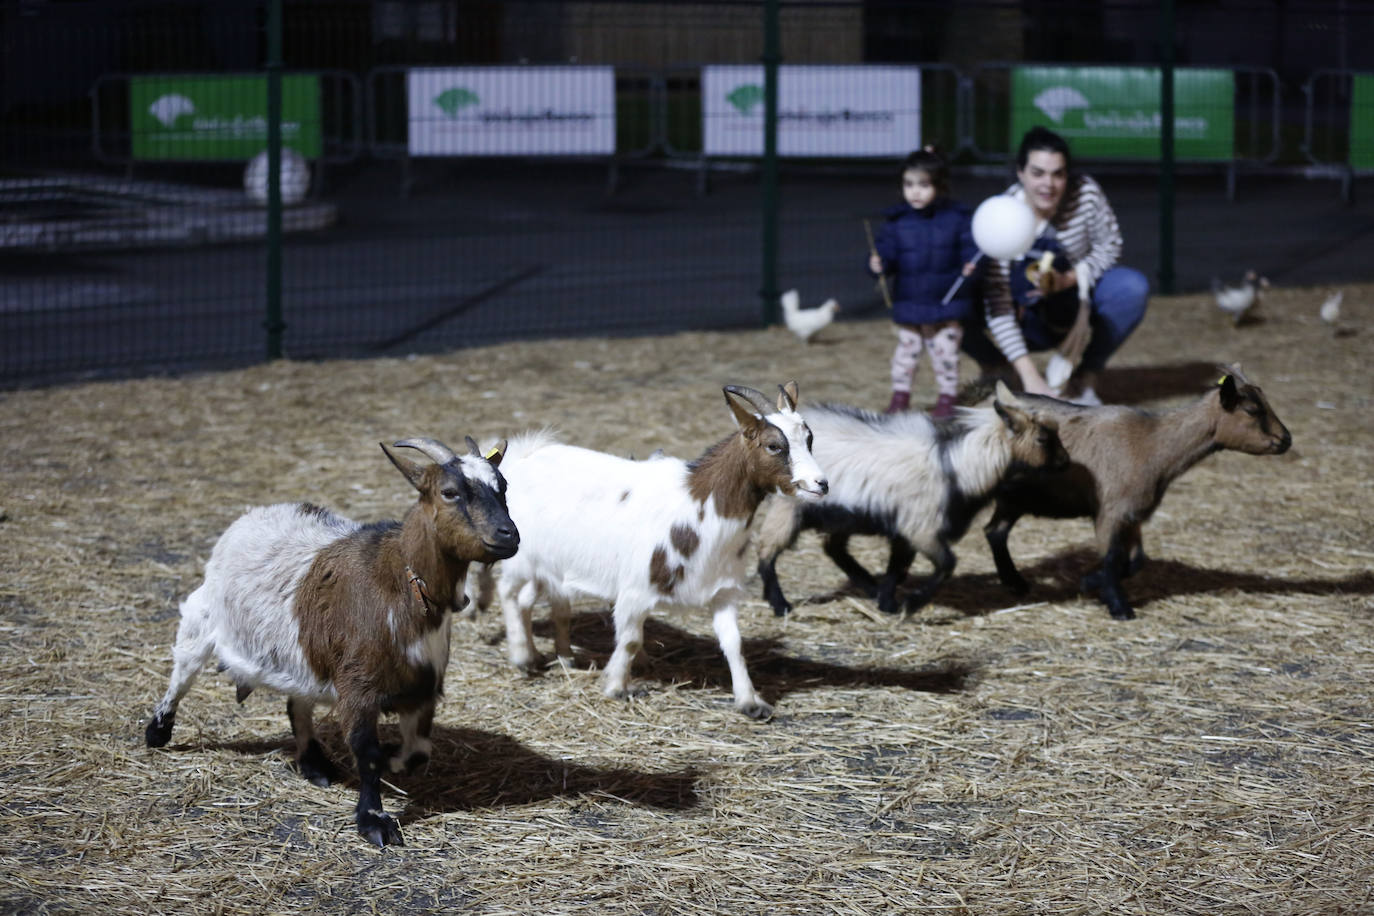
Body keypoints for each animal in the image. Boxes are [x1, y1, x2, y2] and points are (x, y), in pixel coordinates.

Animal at [143, 439, 519, 851]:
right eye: (449, 492)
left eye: (503, 487)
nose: (508, 535)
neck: (400, 582)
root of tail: (255, 514)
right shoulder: (358, 686)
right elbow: (367, 753)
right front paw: (374, 821)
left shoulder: (421, 685)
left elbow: (418, 752)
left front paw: (394, 763)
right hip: (203, 618)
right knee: (183, 672)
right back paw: (158, 731)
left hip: (300, 656)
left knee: (297, 705)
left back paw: (314, 764)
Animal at [467, 384, 829, 719]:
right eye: (774, 445)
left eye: (810, 438)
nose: (821, 484)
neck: (698, 506)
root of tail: (525, 458)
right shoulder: (635, 589)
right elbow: (629, 640)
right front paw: (617, 686)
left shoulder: (723, 591)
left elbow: (734, 644)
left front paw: (750, 701)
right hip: (520, 557)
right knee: (509, 594)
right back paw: (522, 657)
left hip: (549, 567)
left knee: (531, 601)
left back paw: (558, 655)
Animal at [989, 368, 1286, 620]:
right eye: (1252, 410)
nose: (1286, 440)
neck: (1152, 443)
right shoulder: (1110, 512)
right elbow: (1112, 559)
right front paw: (1119, 607)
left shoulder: (1133, 514)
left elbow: (1134, 562)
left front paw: (1090, 582)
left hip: (1014, 498)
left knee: (995, 531)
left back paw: (1015, 583)